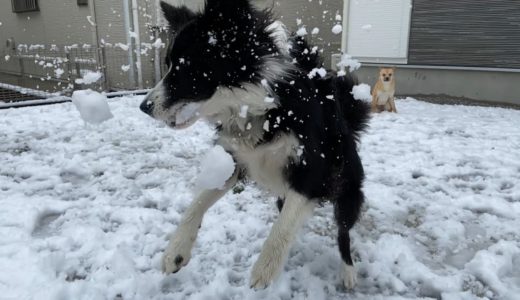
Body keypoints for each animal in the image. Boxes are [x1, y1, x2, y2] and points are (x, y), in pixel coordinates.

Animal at [141, 0, 370, 290]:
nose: (144, 107)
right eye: (168, 64)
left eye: (186, 66)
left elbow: (283, 227)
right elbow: (198, 201)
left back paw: (347, 271)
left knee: (343, 231)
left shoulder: (313, 170)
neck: (260, 105)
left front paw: (266, 268)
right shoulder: (235, 160)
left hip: (347, 189)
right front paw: (175, 251)